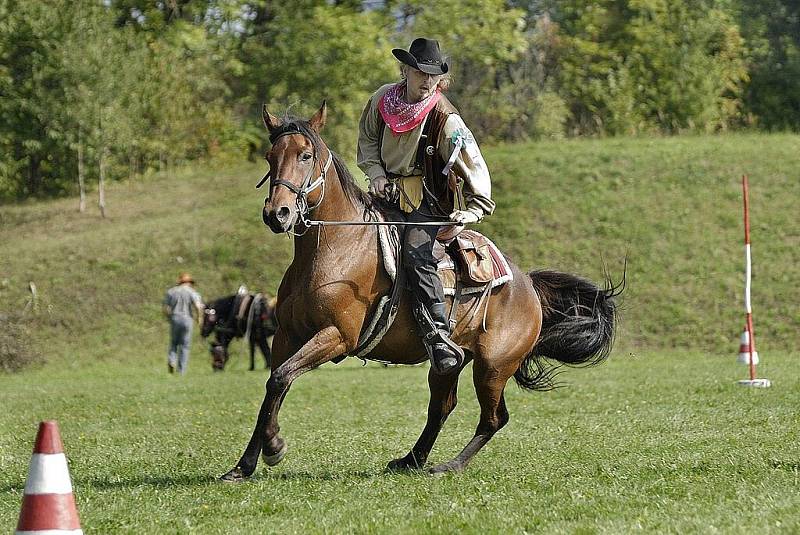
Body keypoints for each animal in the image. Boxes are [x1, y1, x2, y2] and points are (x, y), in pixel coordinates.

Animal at [220, 102, 624, 484]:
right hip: (450, 363)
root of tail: (526, 284)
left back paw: (448, 465)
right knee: (442, 407)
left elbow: (281, 378)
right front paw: (243, 465)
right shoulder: (286, 337)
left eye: (305, 155)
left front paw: (274, 447)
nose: (278, 214)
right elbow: (273, 385)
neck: (334, 247)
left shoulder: (336, 337)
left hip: (493, 367)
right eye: (270, 156)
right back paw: (411, 459)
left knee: (493, 418)